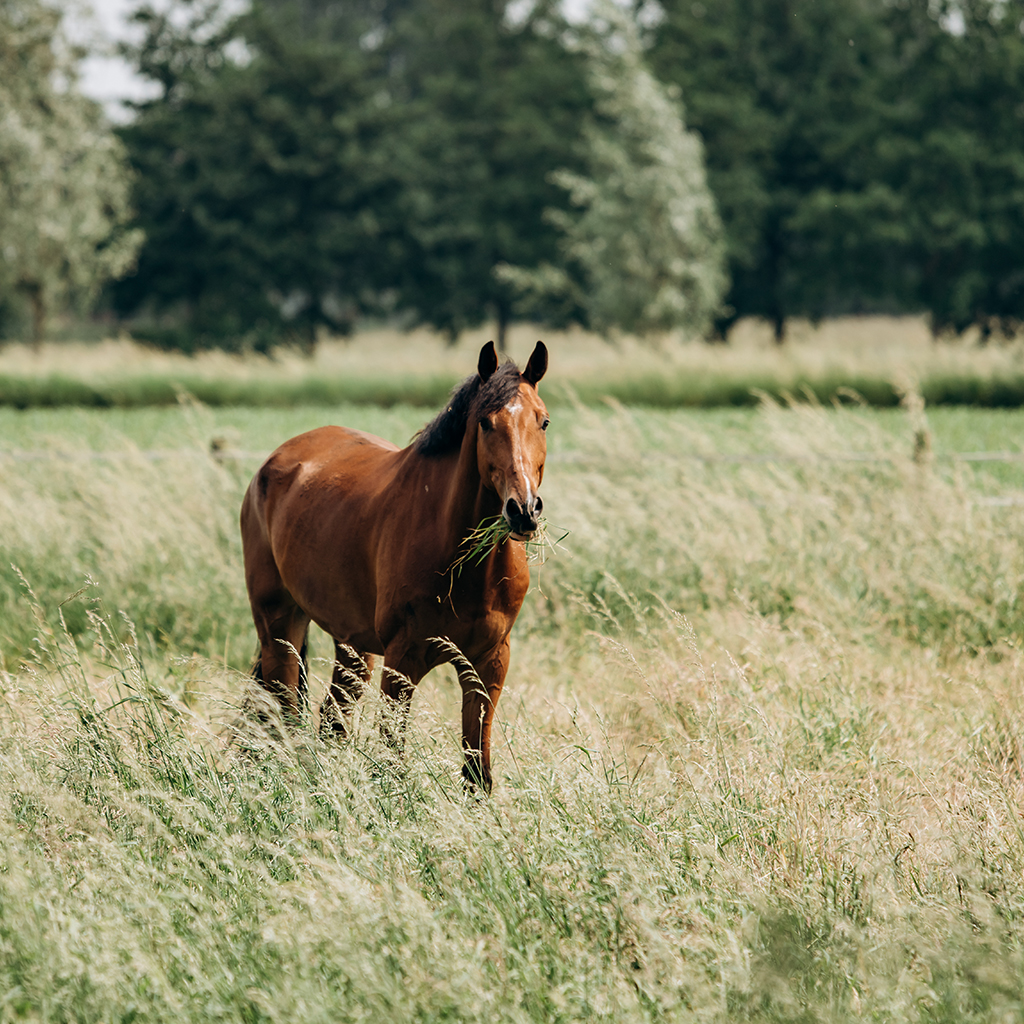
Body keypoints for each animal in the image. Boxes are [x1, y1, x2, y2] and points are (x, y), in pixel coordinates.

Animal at [239, 340, 548, 791]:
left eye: (543, 421)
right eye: (486, 423)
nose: (523, 510)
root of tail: (274, 462)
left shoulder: (489, 662)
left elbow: (478, 771)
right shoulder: (404, 660)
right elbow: (391, 759)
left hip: (352, 646)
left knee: (329, 719)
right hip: (279, 625)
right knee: (285, 711)